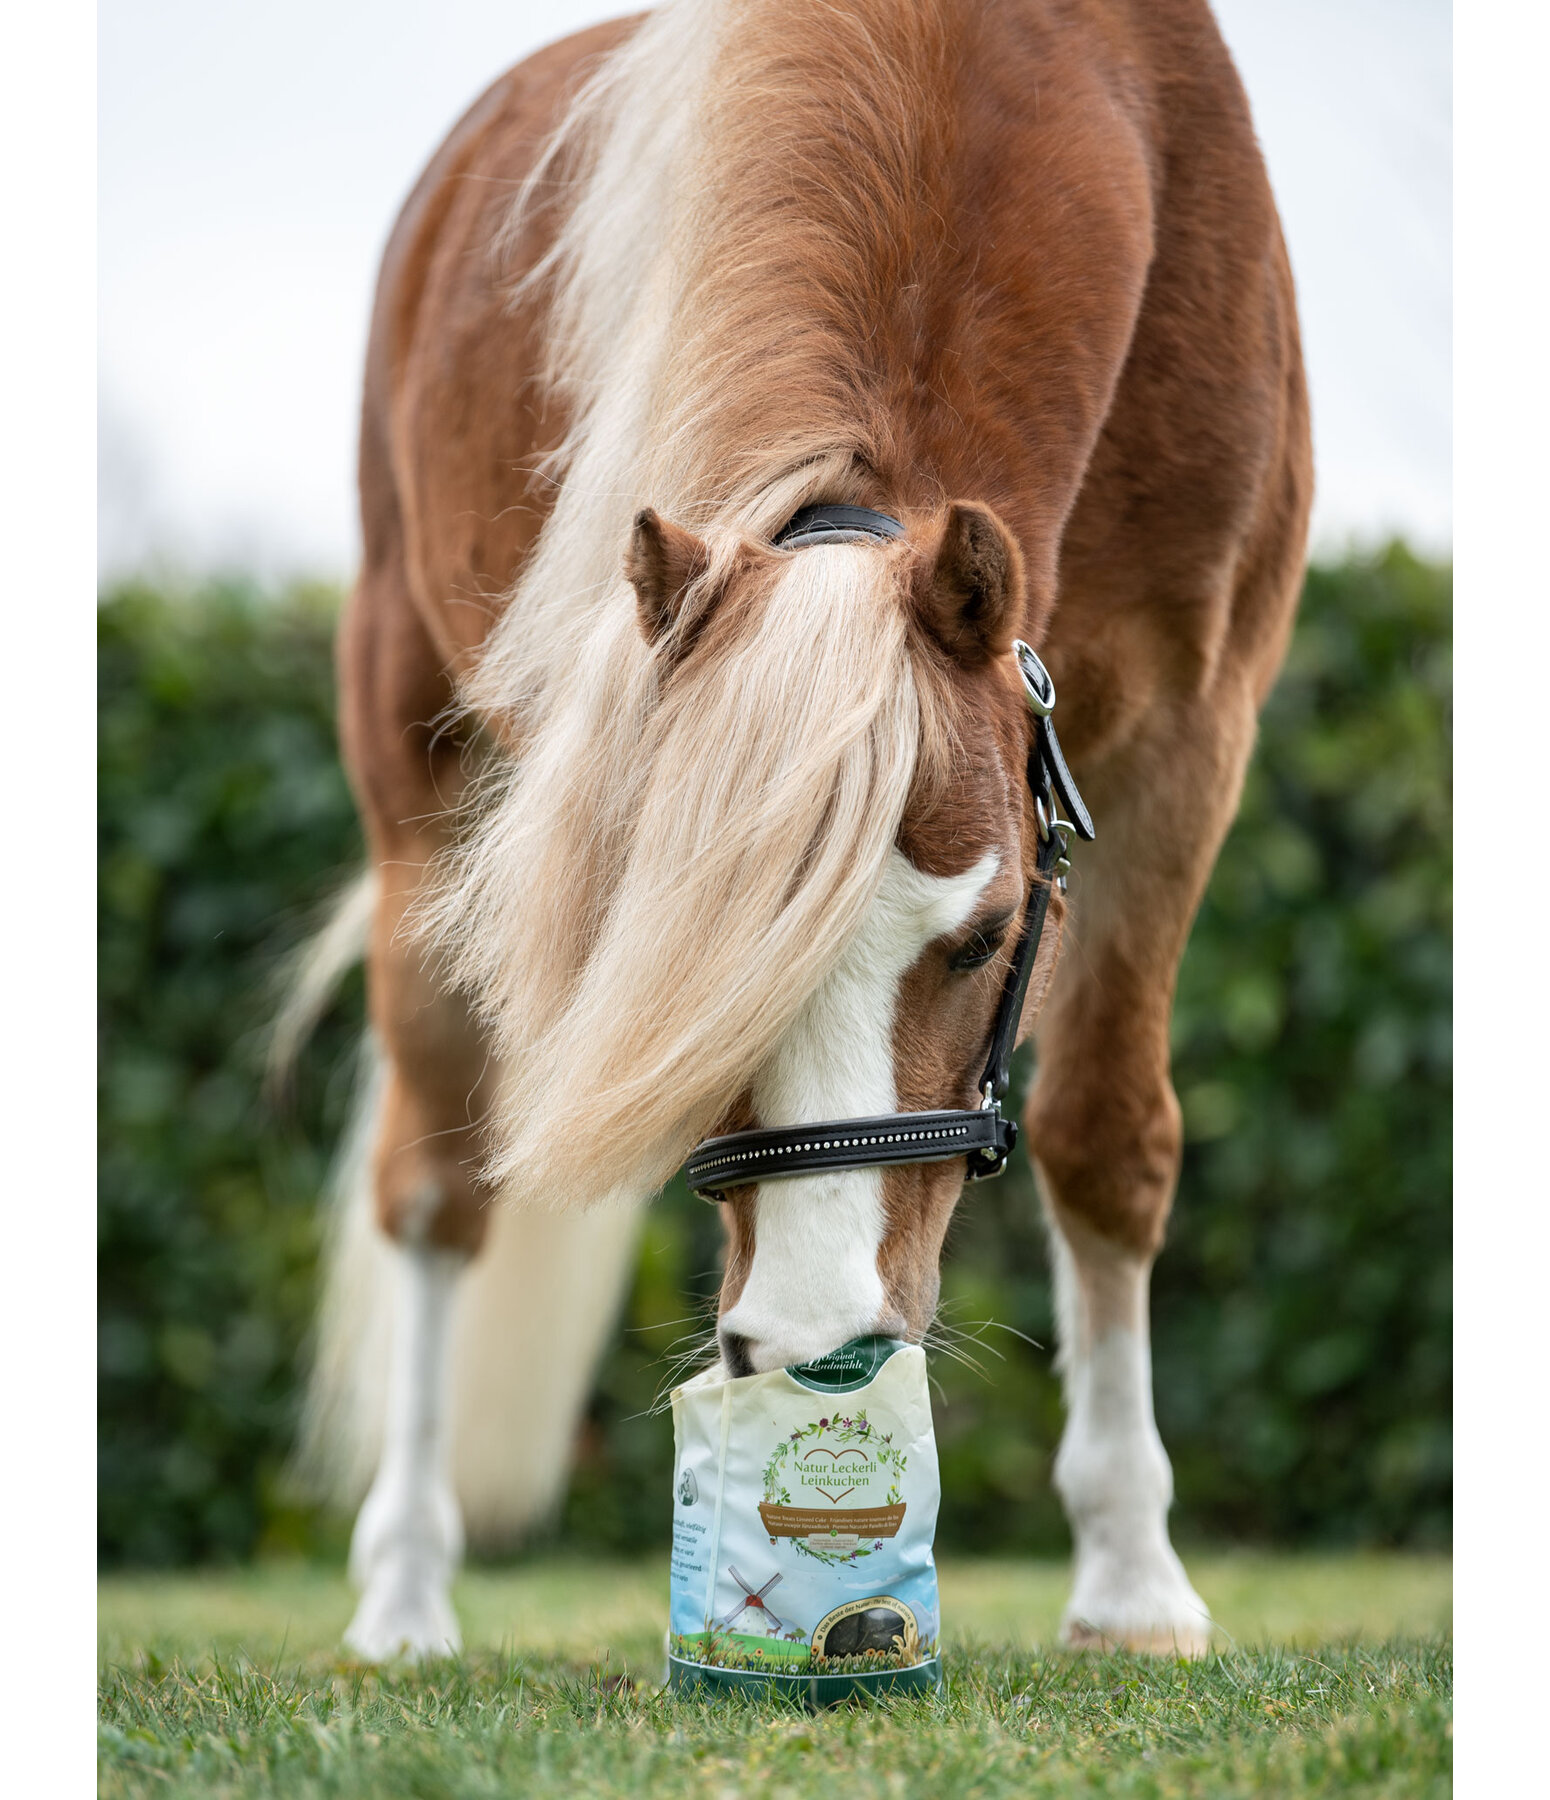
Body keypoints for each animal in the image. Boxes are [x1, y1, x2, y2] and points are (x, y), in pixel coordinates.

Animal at [298, 0, 1303, 1656]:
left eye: (984, 939)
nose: (820, 1343)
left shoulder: (1189, 732)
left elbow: (1110, 1141)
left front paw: (1129, 1580)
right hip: (413, 782)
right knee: (434, 1187)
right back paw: (403, 1591)